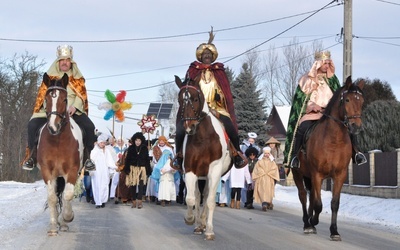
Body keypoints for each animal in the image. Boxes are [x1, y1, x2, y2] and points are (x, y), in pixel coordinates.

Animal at [37, 73, 84, 236]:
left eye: (64, 99)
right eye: (46, 99)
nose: (53, 126)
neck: (57, 141)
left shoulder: (72, 171)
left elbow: (68, 195)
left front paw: (68, 217)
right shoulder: (47, 171)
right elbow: (52, 197)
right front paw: (53, 226)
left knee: (64, 196)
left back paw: (63, 223)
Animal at [174, 74, 231, 240]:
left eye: (195, 99)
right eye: (180, 100)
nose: (189, 127)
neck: (203, 138)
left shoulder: (215, 171)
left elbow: (211, 201)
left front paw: (210, 231)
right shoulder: (190, 170)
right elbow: (191, 198)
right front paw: (190, 219)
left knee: (206, 197)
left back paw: (205, 225)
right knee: (199, 197)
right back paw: (199, 225)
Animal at [292, 76, 364, 240]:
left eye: (362, 101)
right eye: (347, 100)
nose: (356, 127)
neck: (334, 140)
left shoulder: (339, 175)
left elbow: (334, 203)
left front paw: (334, 231)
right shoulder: (317, 174)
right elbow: (318, 204)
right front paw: (313, 221)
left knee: (311, 196)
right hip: (298, 173)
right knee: (303, 196)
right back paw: (307, 224)